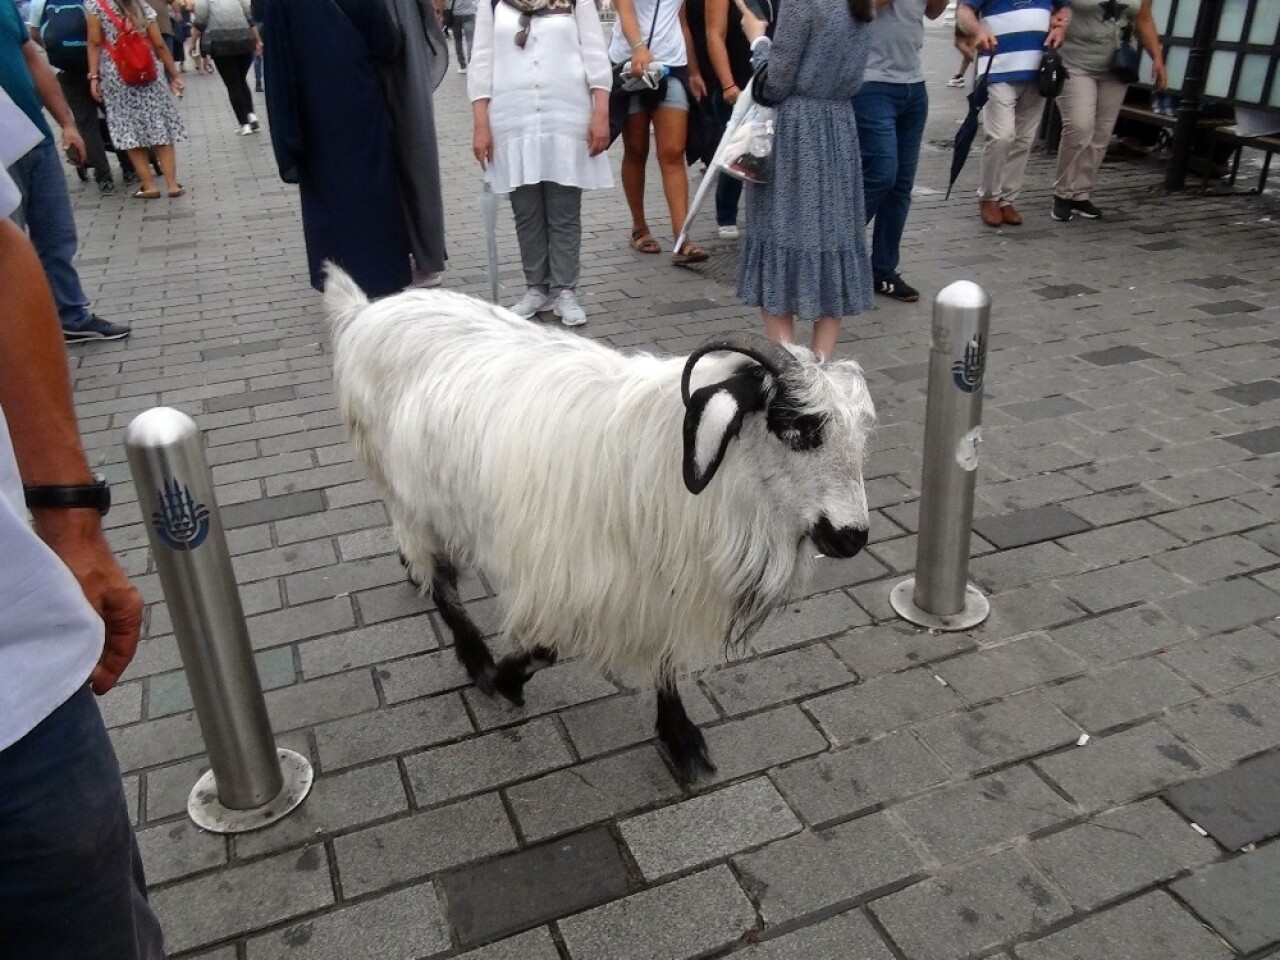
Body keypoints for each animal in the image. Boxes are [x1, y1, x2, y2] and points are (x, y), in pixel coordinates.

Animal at [325, 267, 875, 778]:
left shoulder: (655, 580)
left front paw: (680, 737)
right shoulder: (564, 572)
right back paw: (477, 660)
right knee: (440, 579)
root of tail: (367, 311)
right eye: (796, 428)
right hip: (406, 491)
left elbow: (664, 655)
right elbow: (545, 648)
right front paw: (505, 677)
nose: (852, 538)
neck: (662, 460)